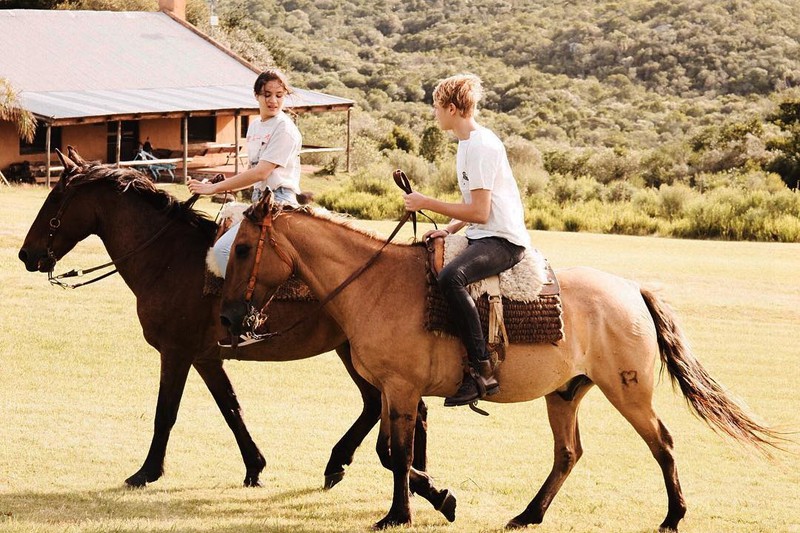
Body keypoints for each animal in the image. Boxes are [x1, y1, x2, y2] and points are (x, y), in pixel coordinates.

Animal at [18, 149, 460, 520]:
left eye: (55, 200)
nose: (26, 254)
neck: (168, 259)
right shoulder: (206, 357)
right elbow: (231, 409)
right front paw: (255, 467)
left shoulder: (176, 353)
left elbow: (166, 413)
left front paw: (146, 472)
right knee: (389, 408)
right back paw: (384, 473)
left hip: (355, 354)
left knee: (391, 408)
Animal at [219, 192, 780, 532]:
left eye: (243, 248)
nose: (228, 317)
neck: (373, 283)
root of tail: (632, 289)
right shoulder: (395, 392)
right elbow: (390, 452)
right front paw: (439, 499)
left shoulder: (400, 389)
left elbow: (397, 455)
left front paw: (400, 514)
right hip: (566, 393)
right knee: (568, 453)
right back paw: (529, 514)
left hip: (629, 390)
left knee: (661, 442)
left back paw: (673, 516)